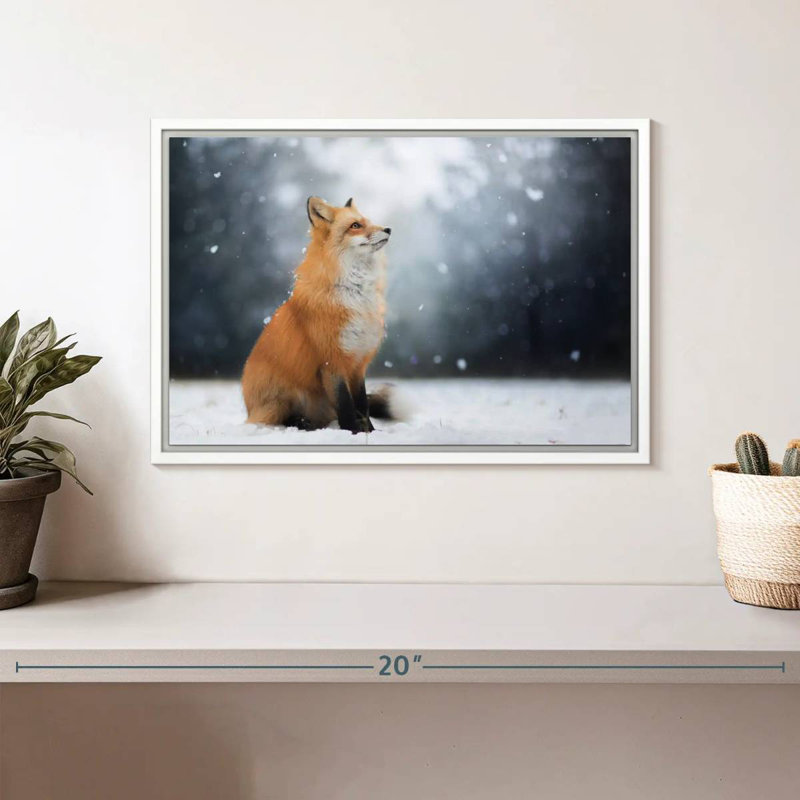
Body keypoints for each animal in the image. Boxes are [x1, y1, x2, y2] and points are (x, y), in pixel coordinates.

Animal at [242, 196, 397, 434]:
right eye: (355, 225)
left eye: (368, 222)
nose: (388, 229)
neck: (355, 294)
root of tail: (248, 408)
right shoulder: (331, 361)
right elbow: (346, 405)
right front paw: (351, 433)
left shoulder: (358, 362)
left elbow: (362, 404)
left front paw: (370, 432)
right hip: (281, 401)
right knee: (279, 420)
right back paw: (301, 423)